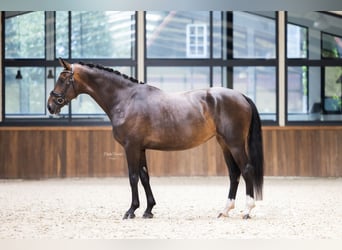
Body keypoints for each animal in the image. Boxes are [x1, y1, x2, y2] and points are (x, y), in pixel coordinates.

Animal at [47, 58, 264, 219]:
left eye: (63, 79)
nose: (50, 105)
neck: (126, 99)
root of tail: (241, 96)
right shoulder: (141, 148)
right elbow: (145, 177)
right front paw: (148, 210)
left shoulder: (131, 147)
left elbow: (133, 177)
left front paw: (131, 210)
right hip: (224, 144)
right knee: (234, 174)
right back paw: (224, 210)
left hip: (235, 144)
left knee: (246, 169)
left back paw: (247, 210)